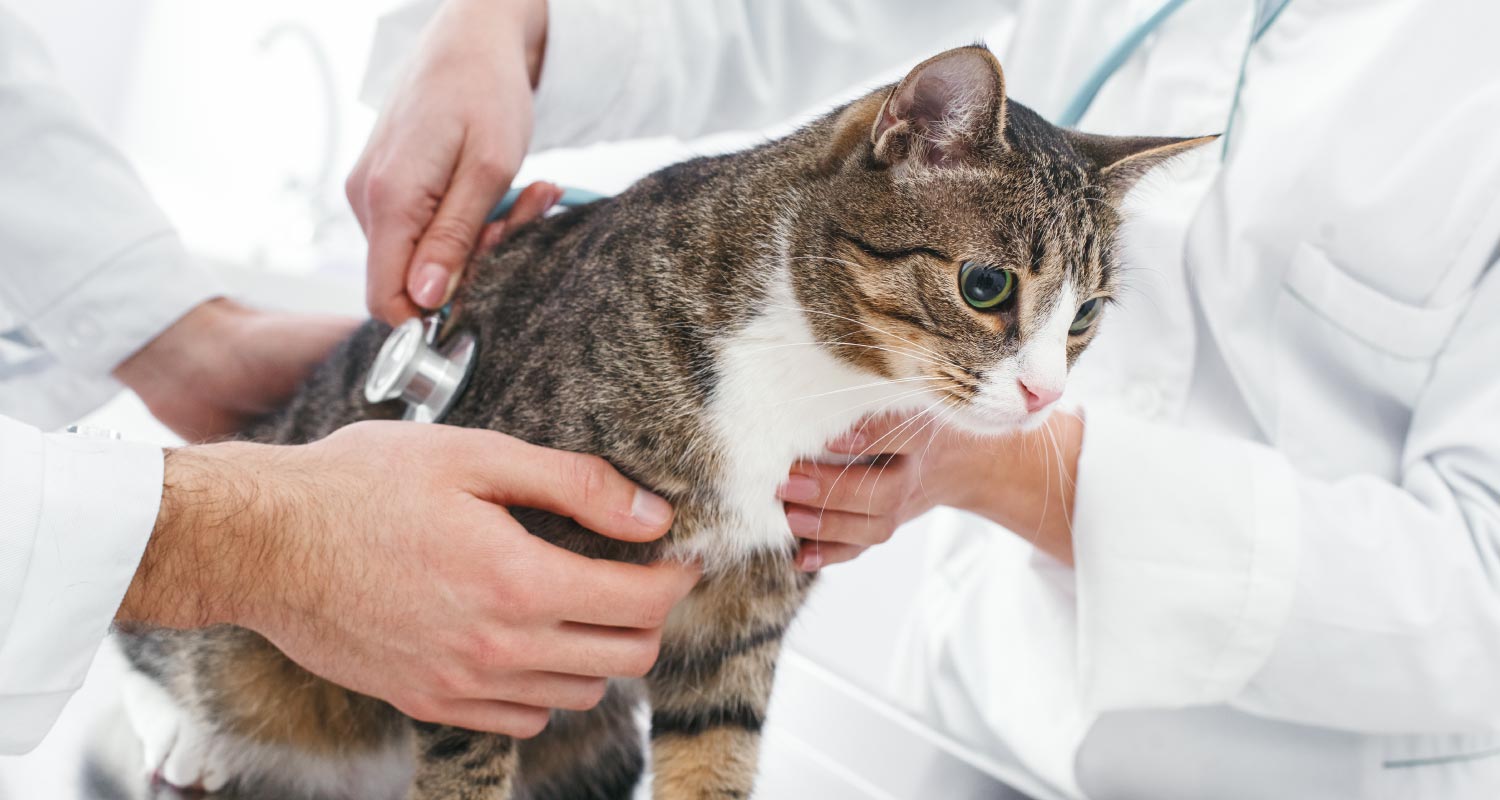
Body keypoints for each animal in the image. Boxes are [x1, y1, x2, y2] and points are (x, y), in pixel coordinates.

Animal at [93, 46, 1212, 798]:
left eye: (1086, 316)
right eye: (987, 287)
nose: (1046, 398)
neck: (803, 380)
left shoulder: (742, 612)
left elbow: (715, 745)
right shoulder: (481, 609)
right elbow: (464, 757)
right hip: (247, 617)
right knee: (157, 630)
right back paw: (181, 725)